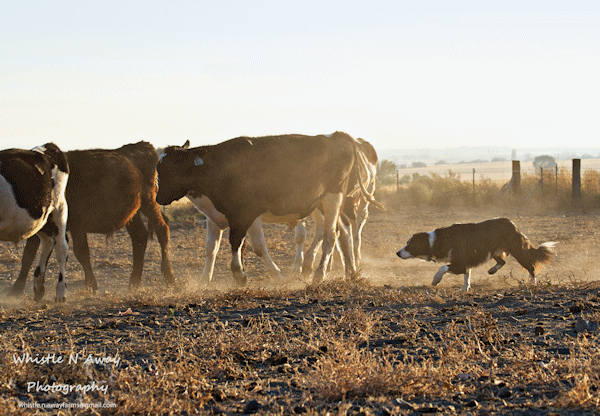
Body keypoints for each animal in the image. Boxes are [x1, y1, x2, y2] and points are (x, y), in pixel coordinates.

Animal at [9, 143, 173, 296]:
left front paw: (91, 284)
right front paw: (16, 289)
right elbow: (28, 255)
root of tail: (142, 146)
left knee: (162, 229)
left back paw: (168, 275)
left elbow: (81, 252)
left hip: (149, 202)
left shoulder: (77, 226)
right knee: (139, 237)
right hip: (133, 213)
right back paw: (133, 283)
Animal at [396, 218, 556, 292]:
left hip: (518, 251)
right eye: (407, 242)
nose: (397, 253)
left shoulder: (459, 264)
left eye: (410, 244)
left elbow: (443, 268)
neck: (435, 241)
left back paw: (532, 283)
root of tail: (512, 224)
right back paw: (492, 270)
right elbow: (467, 277)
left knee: (531, 267)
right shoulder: (466, 263)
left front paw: (436, 280)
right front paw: (464, 289)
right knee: (502, 262)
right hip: (494, 251)